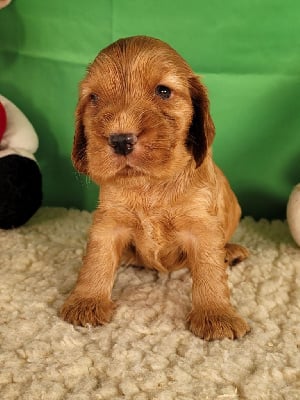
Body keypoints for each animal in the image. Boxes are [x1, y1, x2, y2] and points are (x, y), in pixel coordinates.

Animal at [59, 35, 250, 340]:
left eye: (163, 91)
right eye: (94, 98)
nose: (121, 140)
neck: (148, 185)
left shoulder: (202, 225)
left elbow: (209, 268)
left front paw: (216, 314)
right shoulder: (108, 222)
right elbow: (97, 260)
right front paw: (87, 300)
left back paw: (230, 252)